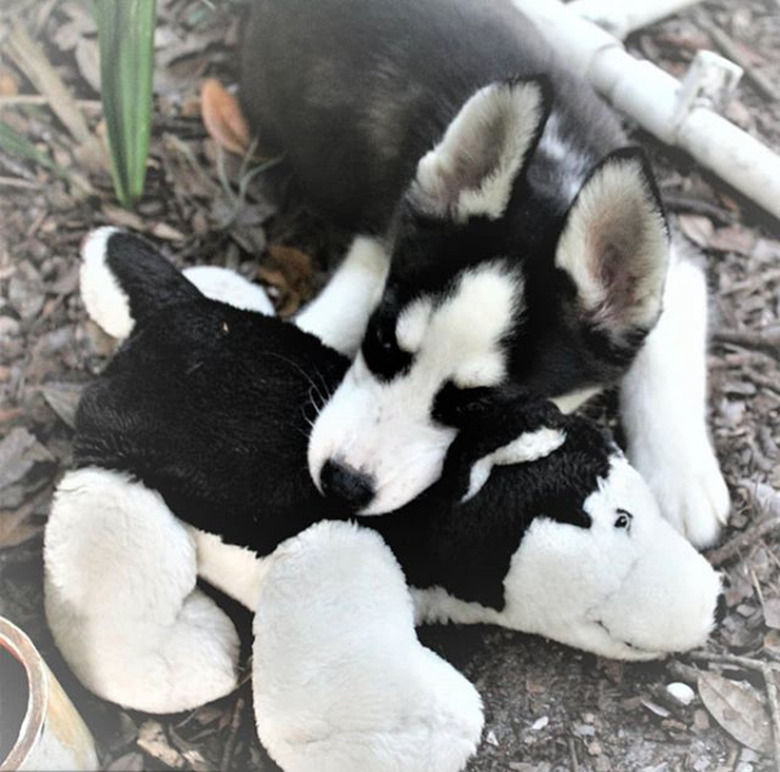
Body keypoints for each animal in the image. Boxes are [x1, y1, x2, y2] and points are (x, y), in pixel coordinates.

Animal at [239, 0, 732, 544]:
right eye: (383, 340)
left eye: (482, 409)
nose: (342, 481)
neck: (551, 173)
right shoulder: (382, 242)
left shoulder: (678, 271)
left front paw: (682, 481)